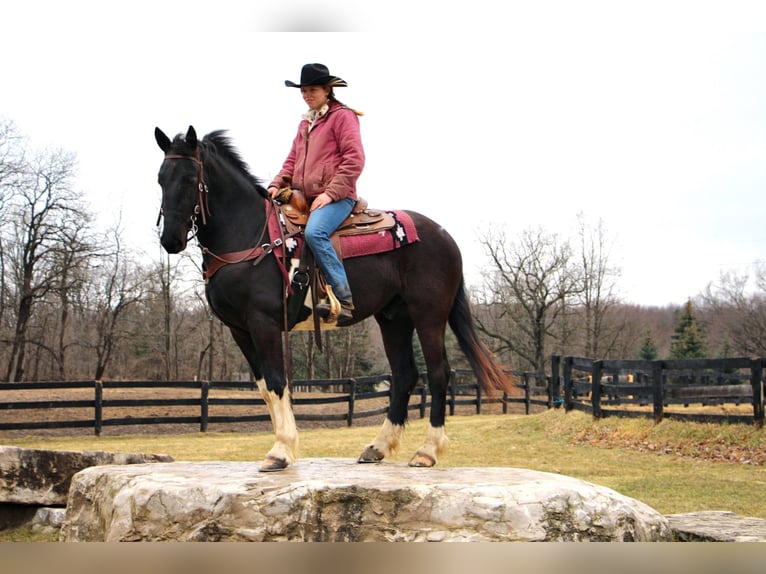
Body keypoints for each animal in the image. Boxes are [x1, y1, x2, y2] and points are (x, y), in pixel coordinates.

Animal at [154, 126, 516, 472]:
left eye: (190, 179)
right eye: (160, 178)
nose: (170, 239)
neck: (252, 235)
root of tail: (445, 236)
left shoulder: (264, 323)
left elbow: (277, 381)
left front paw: (281, 452)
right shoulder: (239, 330)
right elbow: (265, 388)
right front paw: (285, 447)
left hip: (429, 315)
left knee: (439, 374)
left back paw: (426, 452)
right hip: (393, 318)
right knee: (404, 375)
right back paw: (377, 447)